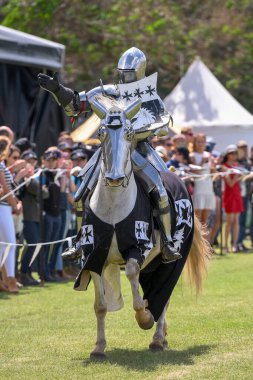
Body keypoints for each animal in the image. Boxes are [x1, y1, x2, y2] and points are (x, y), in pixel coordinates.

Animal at [73, 95, 211, 360]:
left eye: (129, 133)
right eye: (101, 133)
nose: (115, 178)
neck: (113, 206)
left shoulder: (139, 248)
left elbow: (132, 276)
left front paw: (144, 317)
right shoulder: (93, 256)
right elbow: (100, 306)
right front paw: (99, 347)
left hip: (170, 261)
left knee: (163, 296)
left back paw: (157, 338)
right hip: (153, 265)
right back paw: (162, 335)